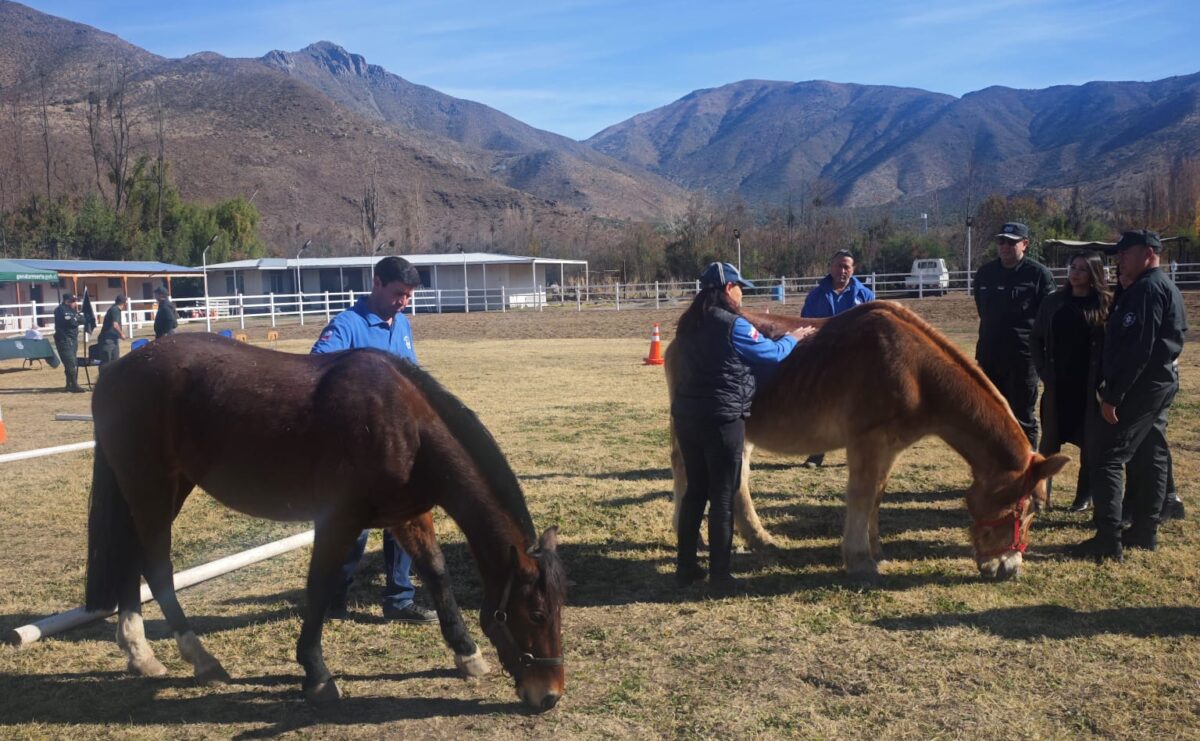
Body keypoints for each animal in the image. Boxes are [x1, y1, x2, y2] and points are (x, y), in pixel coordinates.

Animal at [85, 333, 566, 711]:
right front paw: (316, 675)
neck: (404, 425)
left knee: (131, 558)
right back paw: (201, 658)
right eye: (537, 613)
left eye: (559, 607)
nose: (550, 695)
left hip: (163, 488)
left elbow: (437, 574)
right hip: (151, 487)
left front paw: (466, 654)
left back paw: (139, 653)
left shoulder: (409, 515)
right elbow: (319, 588)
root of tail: (116, 371)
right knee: (156, 567)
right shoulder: (338, 520)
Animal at [668, 301, 1069, 581]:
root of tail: (683, 333)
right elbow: (861, 496)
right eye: (1028, 509)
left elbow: (876, 495)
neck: (916, 370)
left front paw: (876, 552)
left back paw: (758, 538)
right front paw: (860, 561)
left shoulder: (889, 447)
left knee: (739, 480)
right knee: (686, 472)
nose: (1008, 569)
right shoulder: (867, 442)